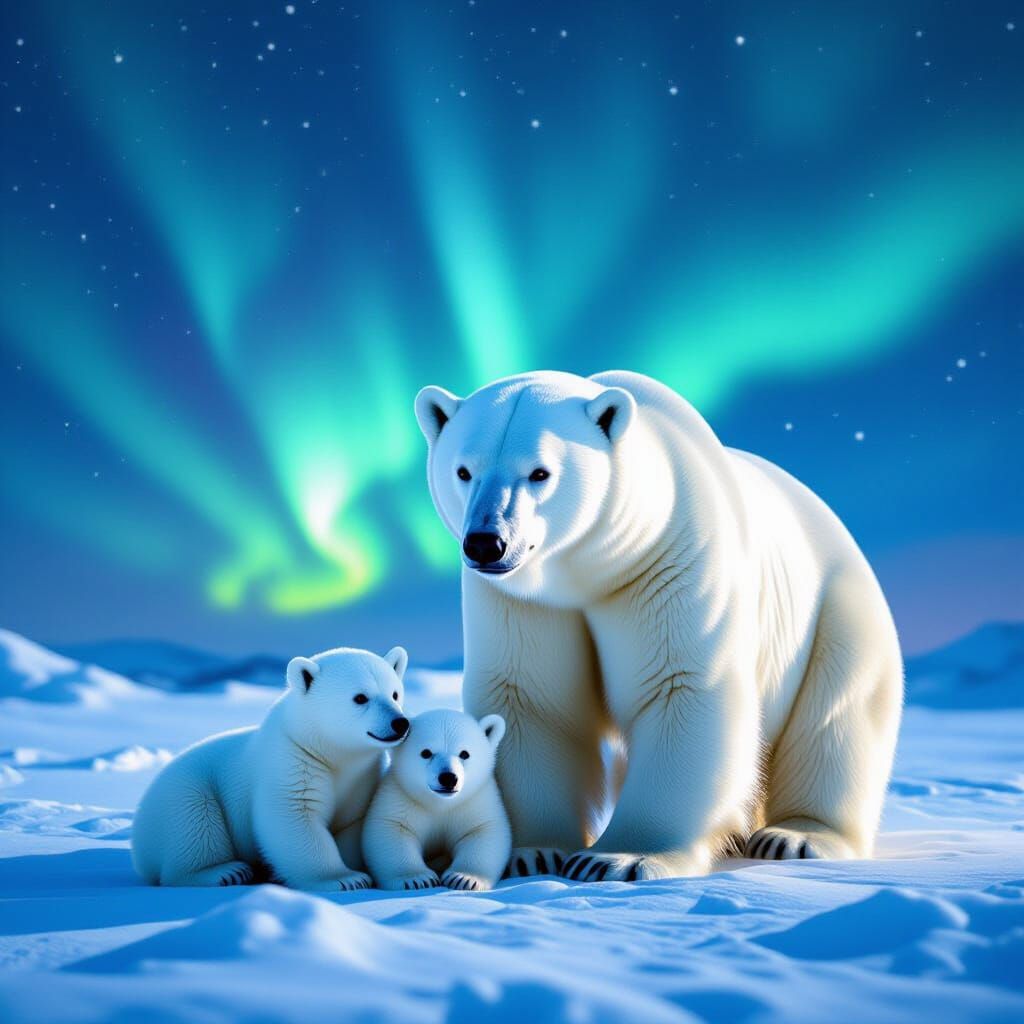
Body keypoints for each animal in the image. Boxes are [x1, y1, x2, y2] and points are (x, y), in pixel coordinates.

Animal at [131, 645, 410, 889]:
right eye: (360, 697)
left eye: (395, 693)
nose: (400, 723)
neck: (328, 750)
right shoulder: (292, 760)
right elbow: (295, 816)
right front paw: (345, 879)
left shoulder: (362, 776)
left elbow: (352, 824)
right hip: (186, 791)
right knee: (196, 824)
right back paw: (225, 872)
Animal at [362, 709, 511, 891]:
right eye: (426, 752)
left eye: (464, 753)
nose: (448, 778)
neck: (440, 804)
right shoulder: (401, 797)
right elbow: (392, 830)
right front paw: (417, 879)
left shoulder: (474, 802)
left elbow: (482, 832)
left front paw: (463, 879)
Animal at [414, 369, 903, 882]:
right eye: (464, 470)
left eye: (540, 472)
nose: (486, 543)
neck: (592, 568)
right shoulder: (523, 600)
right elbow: (530, 698)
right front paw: (532, 852)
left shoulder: (670, 560)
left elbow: (679, 686)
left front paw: (620, 858)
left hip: (838, 611)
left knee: (837, 716)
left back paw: (795, 836)